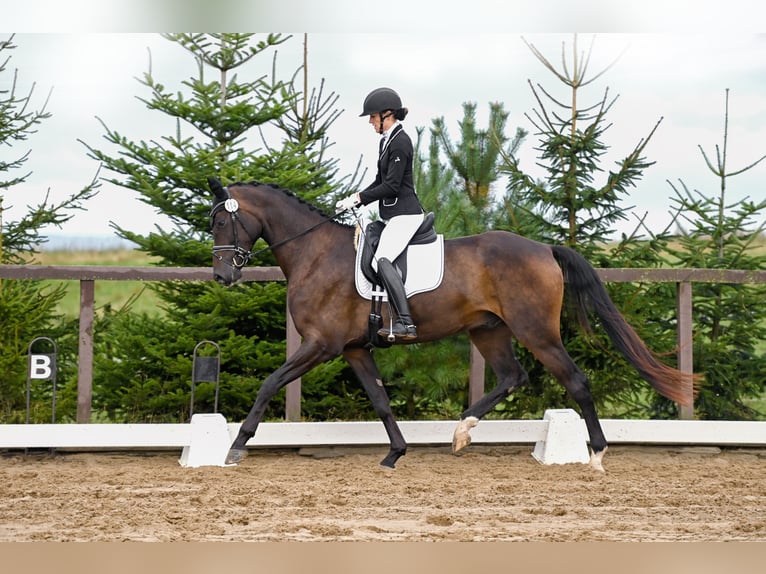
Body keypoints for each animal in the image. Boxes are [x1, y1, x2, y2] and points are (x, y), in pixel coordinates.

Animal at [208, 179, 696, 472]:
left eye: (220, 220)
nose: (222, 276)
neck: (315, 252)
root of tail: (543, 248)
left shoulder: (321, 344)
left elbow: (270, 383)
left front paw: (236, 445)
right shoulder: (353, 348)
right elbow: (380, 401)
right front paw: (395, 453)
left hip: (536, 331)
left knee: (575, 380)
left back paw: (596, 453)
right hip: (488, 329)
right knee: (512, 376)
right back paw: (462, 431)